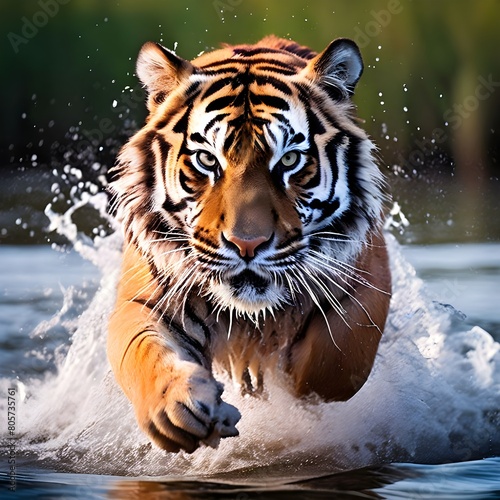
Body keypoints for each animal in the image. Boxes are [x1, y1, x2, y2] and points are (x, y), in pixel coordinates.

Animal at [108, 35, 390, 454]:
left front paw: (287, 395)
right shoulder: (145, 297)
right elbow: (144, 351)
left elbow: (334, 363)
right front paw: (182, 410)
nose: (247, 244)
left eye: (289, 160)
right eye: (207, 159)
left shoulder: (367, 284)